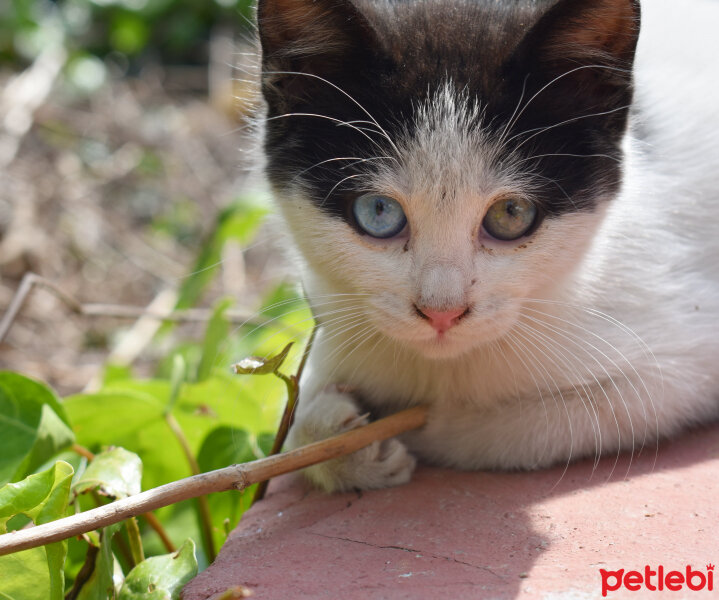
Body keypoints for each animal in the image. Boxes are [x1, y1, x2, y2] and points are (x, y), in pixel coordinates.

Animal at [253, 0, 719, 490]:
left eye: (511, 214)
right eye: (379, 212)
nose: (442, 313)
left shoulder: (677, 367)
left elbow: (505, 428)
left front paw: (393, 431)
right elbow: (297, 430)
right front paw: (334, 436)